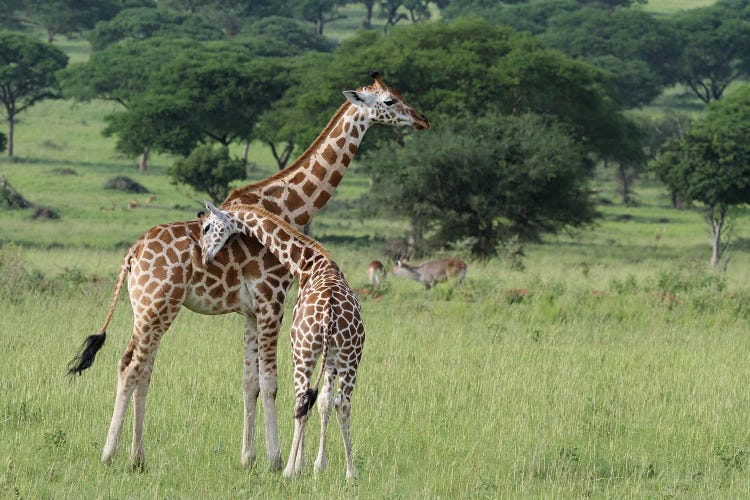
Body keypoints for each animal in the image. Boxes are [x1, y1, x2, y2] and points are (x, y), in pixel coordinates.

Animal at [198, 203, 366, 480]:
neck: (309, 264)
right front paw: (319, 465)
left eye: (207, 227)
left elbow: (311, 403)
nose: (205, 258)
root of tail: (329, 313)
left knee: (301, 403)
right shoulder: (332, 357)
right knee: (342, 404)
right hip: (351, 357)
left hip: (302, 353)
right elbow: (325, 402)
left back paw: (288, 469)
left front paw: (302, 466)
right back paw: (351, 473)